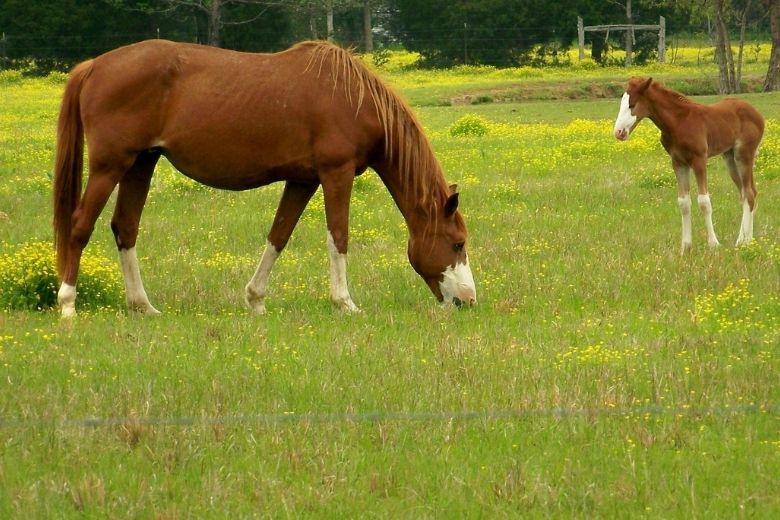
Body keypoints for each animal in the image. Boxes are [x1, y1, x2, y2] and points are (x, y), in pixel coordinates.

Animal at [51, 39, 476, 316]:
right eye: (457, 244)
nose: (469, 301)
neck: (354, 98)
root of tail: (93, 66)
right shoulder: (336, 173)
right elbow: (338, 237)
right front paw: (345, 304)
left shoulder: (303, 180)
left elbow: (279, 235)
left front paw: (255, 299)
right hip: (110, 165)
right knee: (80, 225)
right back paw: (68, 305)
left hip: (142, 163)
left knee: (125, 227)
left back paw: (143, 306)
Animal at [616, 76, 760, 253]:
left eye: (632, 105)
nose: (618, 132)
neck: (679, 122)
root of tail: (757, 114)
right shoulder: (678, 163)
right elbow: (683, 203)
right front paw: (685, 247)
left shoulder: (699, 160)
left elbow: (704, 201)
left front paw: (713, 244)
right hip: (729, 158)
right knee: (746, 193)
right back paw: (747, 239)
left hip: (744, 155)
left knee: (749, 193)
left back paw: (743, 241)